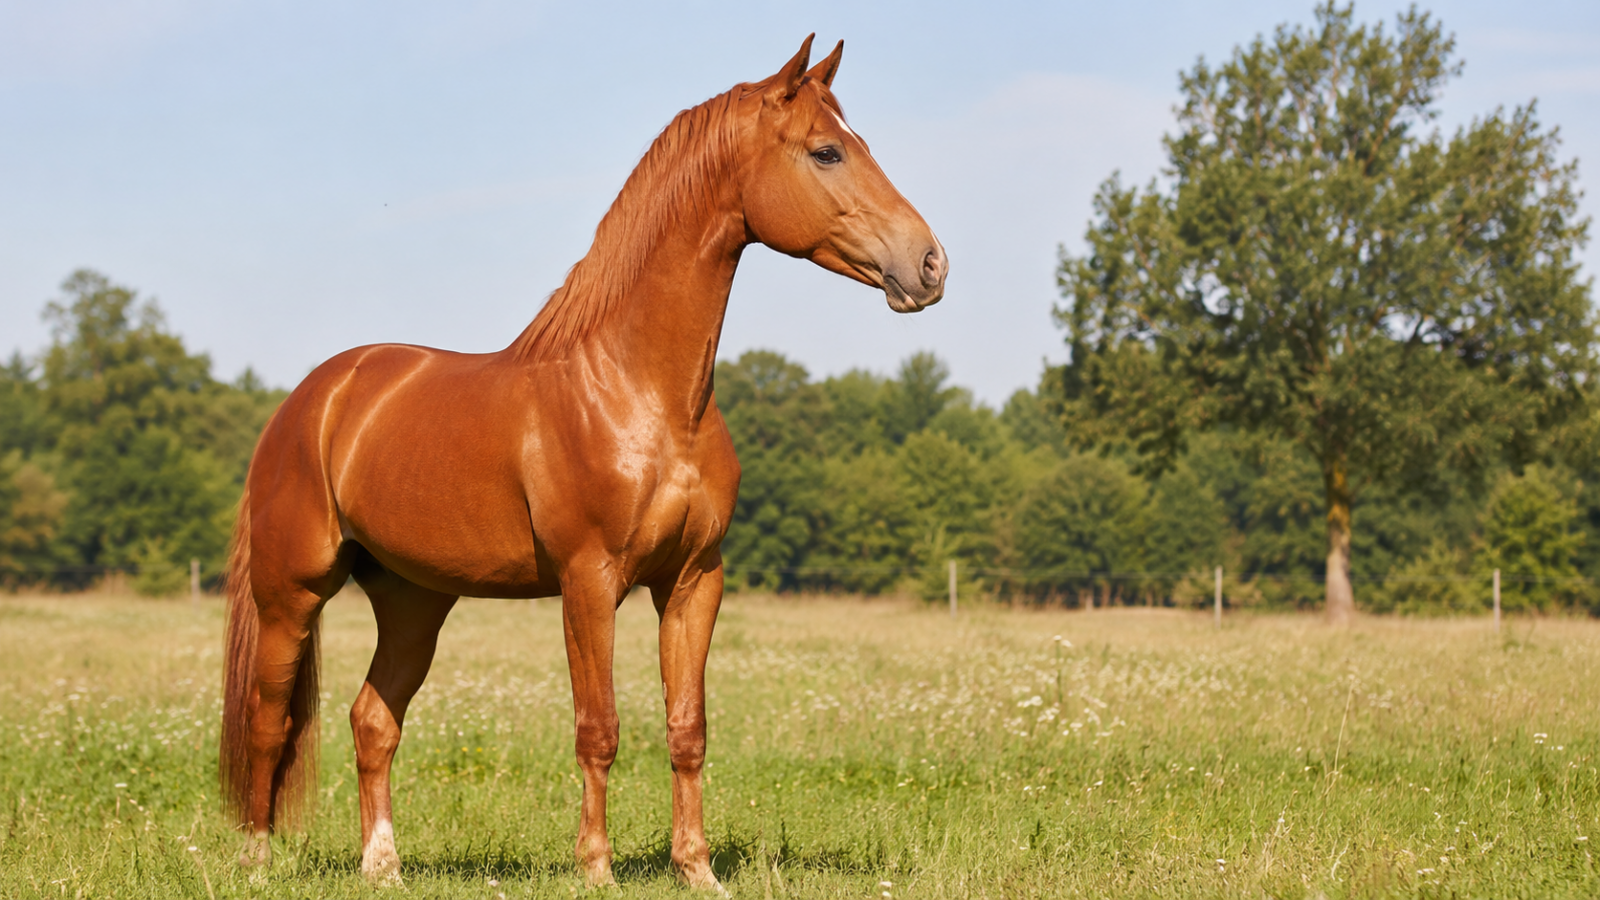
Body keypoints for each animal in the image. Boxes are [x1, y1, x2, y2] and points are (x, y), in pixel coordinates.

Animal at [218, 34, 946, 890]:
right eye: (827, 151)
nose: (929, 264)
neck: (642, 392)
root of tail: (314, 399)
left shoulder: (694, 581)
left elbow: (688, 727)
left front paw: (698, 870)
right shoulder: (589, 581)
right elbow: (599, 726)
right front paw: (596, 868)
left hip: (412, 600)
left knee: (373, 720)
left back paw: (383, 866)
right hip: (291, 594)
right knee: (269, 721)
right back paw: (257, 862)